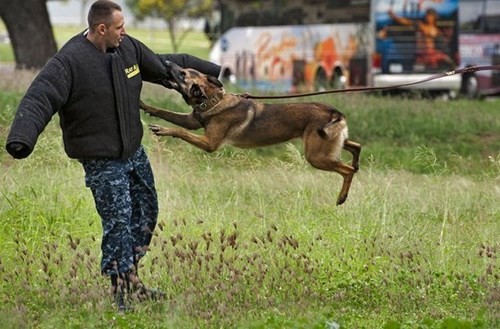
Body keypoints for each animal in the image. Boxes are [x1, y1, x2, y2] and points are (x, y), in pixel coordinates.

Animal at [139, 60, 362, 204]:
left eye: (184, 73)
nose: (167, 61)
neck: (213, 100)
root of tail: (335, 112)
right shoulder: (192, 122)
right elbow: (165, 112)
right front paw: (144, 105)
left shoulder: (209, 143)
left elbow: (180, 131)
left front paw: (162, 129)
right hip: (329, 144)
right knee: (355, 146)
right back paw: (356, 163)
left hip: (316, 155)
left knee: (347, 170)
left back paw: (342, 197)